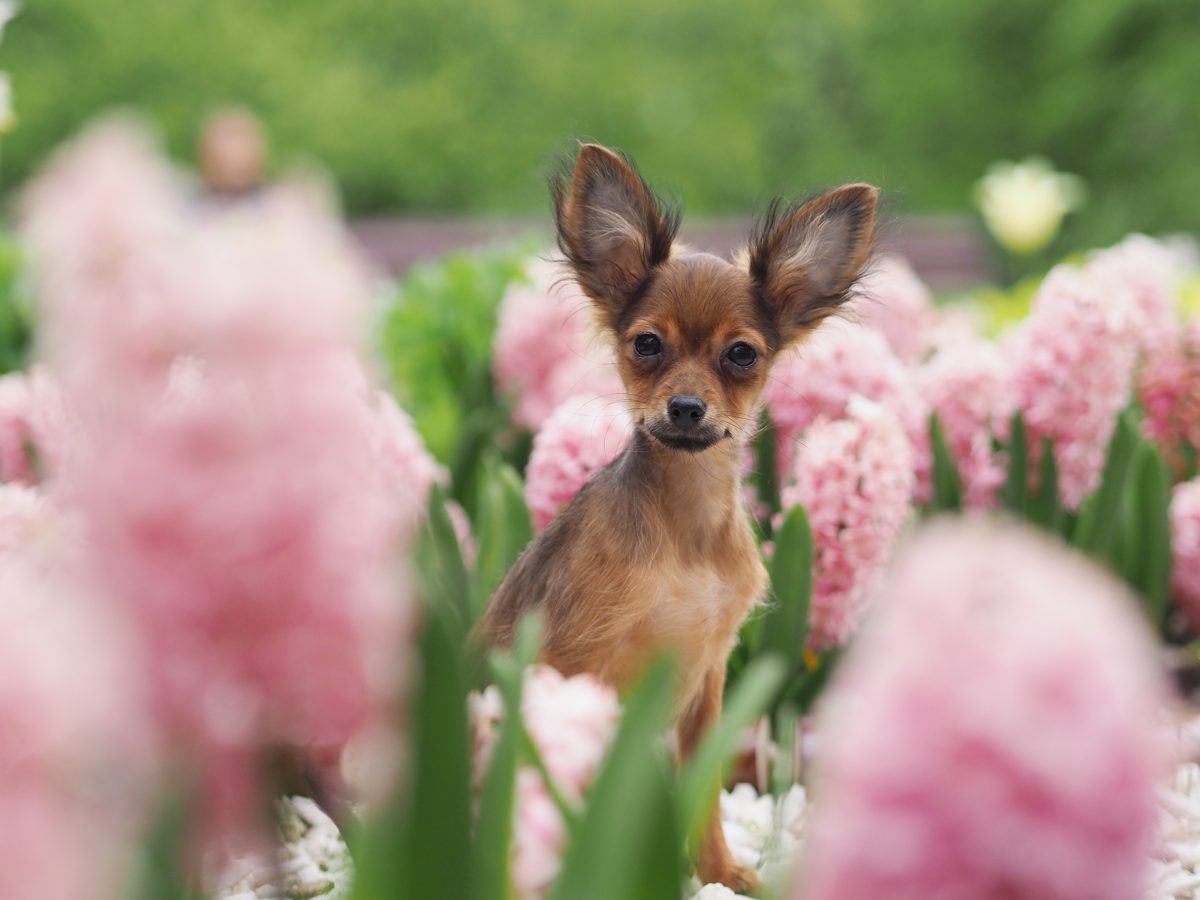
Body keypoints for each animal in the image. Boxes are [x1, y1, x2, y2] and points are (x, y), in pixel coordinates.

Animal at [480, 144, 883, 892]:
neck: (684, 531)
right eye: (647, 345)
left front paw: (722, 871)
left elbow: (706, 794)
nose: (688, 408)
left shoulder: (708, 683)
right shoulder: (572, 660)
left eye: (742, 354)